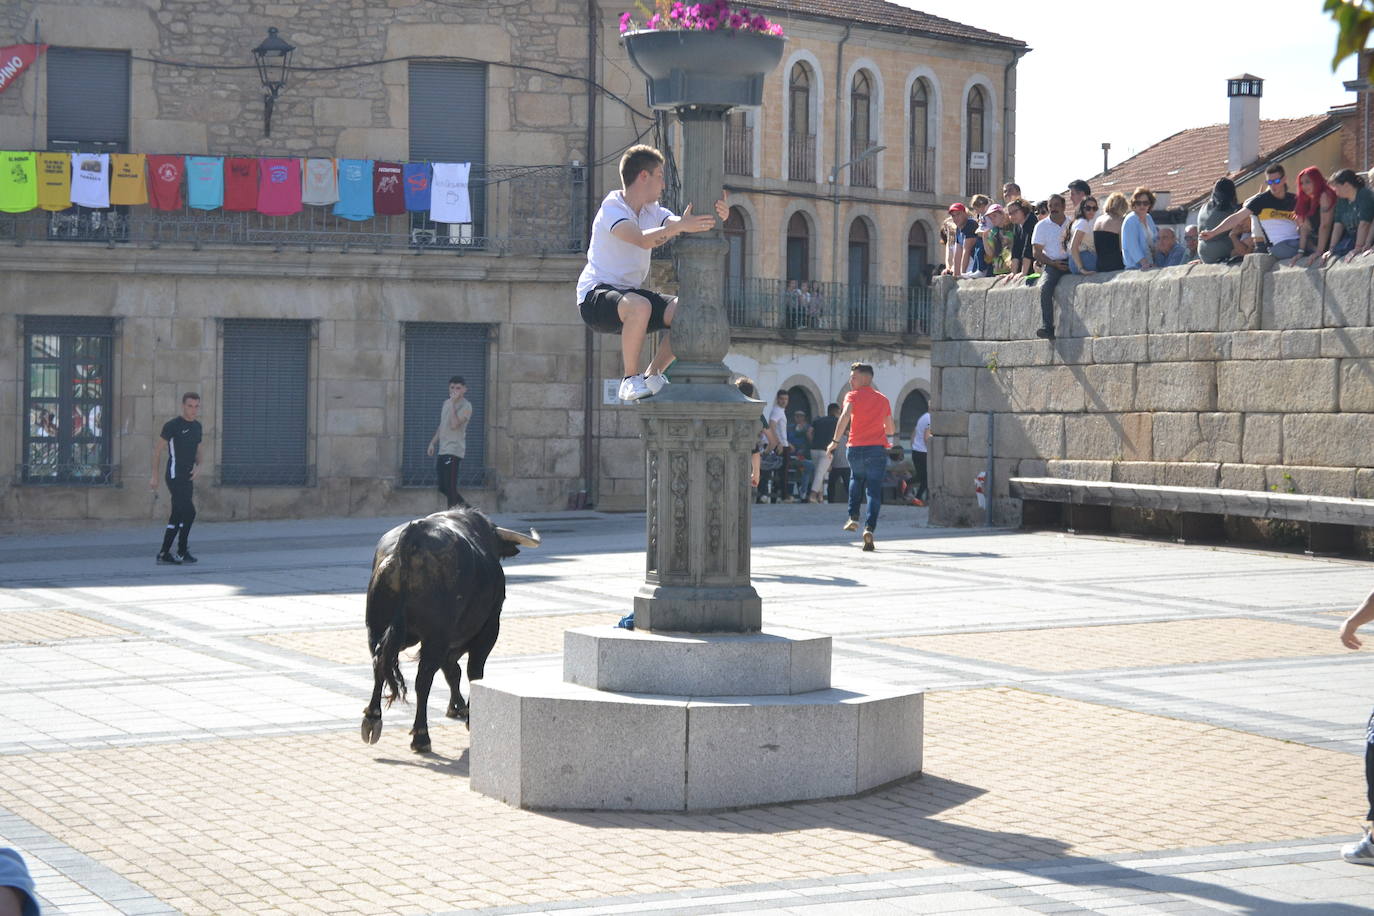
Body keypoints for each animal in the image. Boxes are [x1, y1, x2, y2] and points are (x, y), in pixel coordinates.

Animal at [359, 508, 541, 752]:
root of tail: (413, 536)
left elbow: (453, 671)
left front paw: (457, 706)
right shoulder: (488, 629)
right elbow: (473, 672)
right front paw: (469, 715)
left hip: (377, 628)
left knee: (380, 663)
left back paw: (372, 718)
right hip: (437, 636)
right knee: (423, 679)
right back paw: (421, 736)